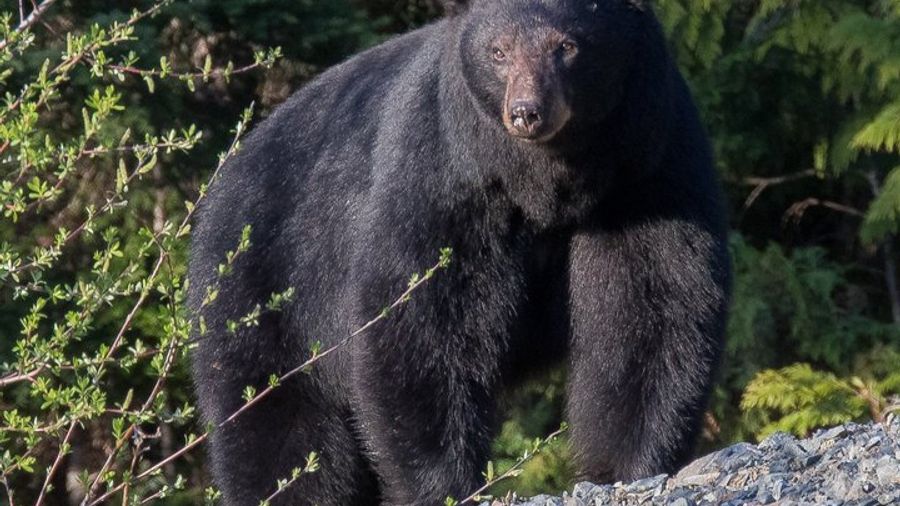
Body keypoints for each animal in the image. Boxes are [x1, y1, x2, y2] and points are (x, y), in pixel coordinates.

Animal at [187, 0, 731, 505]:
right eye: (499, 50)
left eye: (568, 45)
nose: (527, 112)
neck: (547, 180)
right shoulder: (446, 174)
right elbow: (424, 319)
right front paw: (444, 482)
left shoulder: (647, 169)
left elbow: (652, 306)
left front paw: (629, 464)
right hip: (265, 295)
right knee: (282, 434)